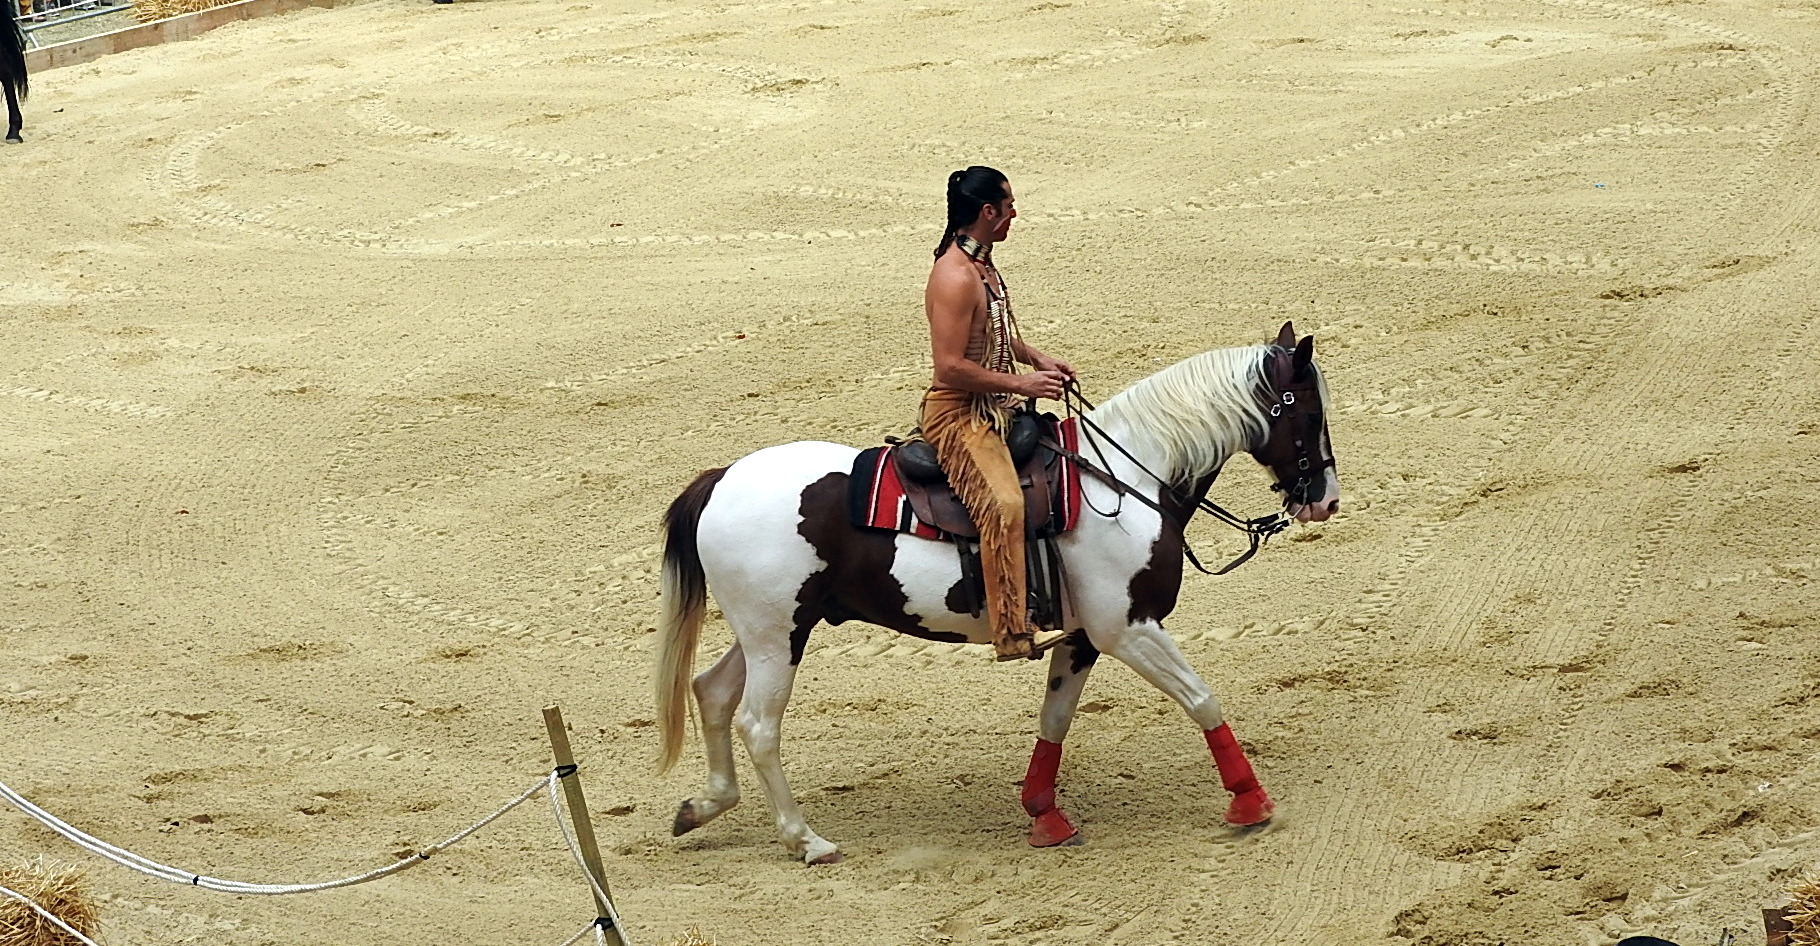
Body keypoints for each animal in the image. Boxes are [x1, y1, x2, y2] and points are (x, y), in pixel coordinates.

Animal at [653, 322, 1340, 864]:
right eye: (1309, 414)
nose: (1326, 500)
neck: (1125, 478)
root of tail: (720, 479)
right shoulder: (1130, 628)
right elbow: (1202, 700)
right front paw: (1251, 803)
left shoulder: (1087, 635)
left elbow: (1056, 718)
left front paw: (1044, 815)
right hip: (777, 636)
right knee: (758, 724)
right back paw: (806, 839)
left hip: (773, 630)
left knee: (711, 693)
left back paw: (703, 805)